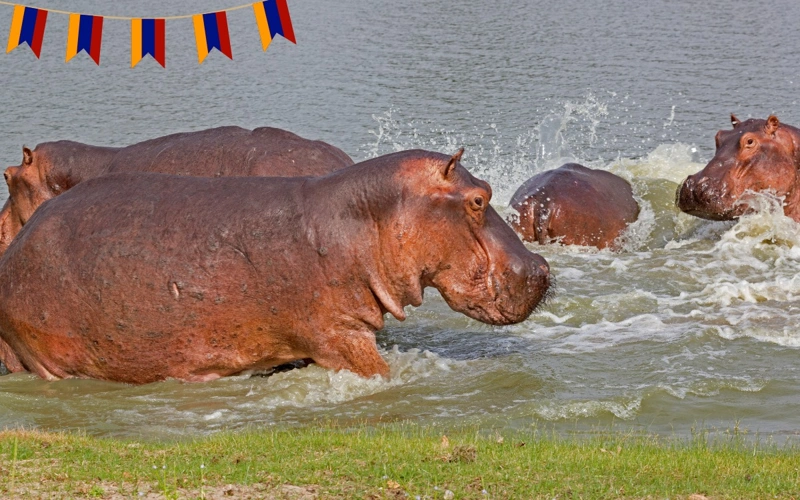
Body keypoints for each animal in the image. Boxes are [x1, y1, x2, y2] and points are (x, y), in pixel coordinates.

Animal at [0, 149, 551, 384]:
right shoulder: (339, 335)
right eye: (479, 199)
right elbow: (379, 371)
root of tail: (14, 253)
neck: (366, 218)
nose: (542, 267)